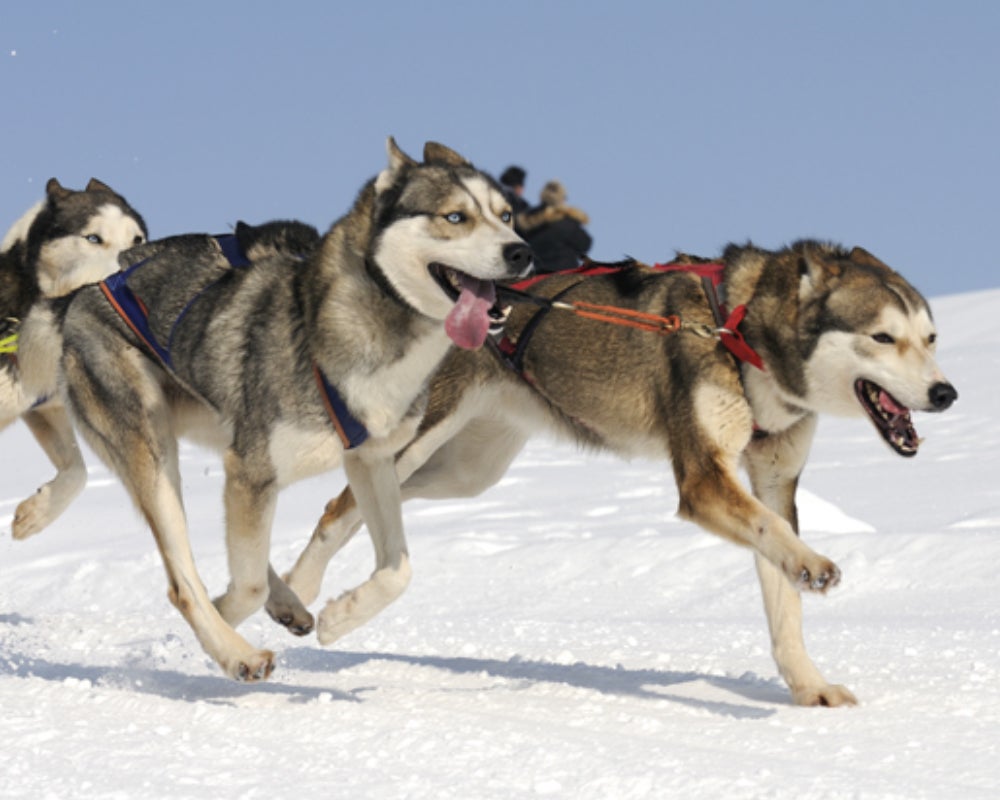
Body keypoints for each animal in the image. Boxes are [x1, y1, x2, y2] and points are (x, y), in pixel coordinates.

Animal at [17, 139, 532, 680]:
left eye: (506, 215)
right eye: (455, 216)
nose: (522, 252)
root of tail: (90, 289)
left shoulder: (366, 461)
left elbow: (398, 570)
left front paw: (340, 617)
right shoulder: (254, 469)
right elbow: (242, 586)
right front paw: (225, 625)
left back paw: (284, 603)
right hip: (152, 448)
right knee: (184, 578)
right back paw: (235, 648)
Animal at [270, 242, 956, 708]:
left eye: (930, 337)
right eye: (882, 337)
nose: (945, 393)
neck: (738, 330)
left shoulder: (771, 484)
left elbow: (780, 580)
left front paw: (808, 685)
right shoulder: (704, 481)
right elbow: (781, 545)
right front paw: (815, 566)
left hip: (469, 470)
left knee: (377, 511)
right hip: (412, 440)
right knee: (338, 508)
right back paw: (303, 598)